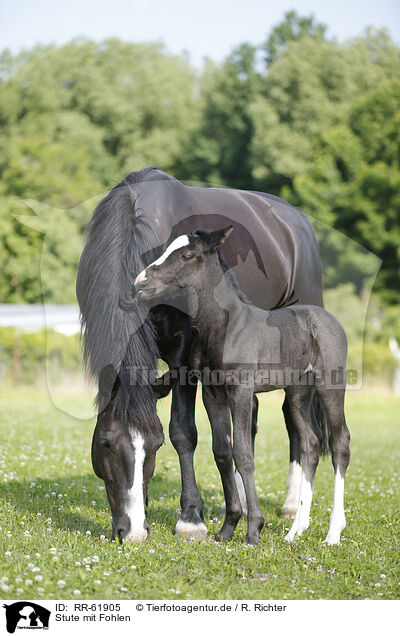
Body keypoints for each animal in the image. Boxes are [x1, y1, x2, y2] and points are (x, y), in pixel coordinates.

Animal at [134, 226, 350, 544]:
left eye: (186, 255)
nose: (141, 281)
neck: (224, 326)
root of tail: (332, 319)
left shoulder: (242, 392)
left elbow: (244, 455)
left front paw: (253, 531)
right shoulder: (213, 393)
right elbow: (222, 452)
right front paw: (228, 528)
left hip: (330, 387)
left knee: (339, 444)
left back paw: (333, 532)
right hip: (299, 392)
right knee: (311, 443)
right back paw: (295, 531)